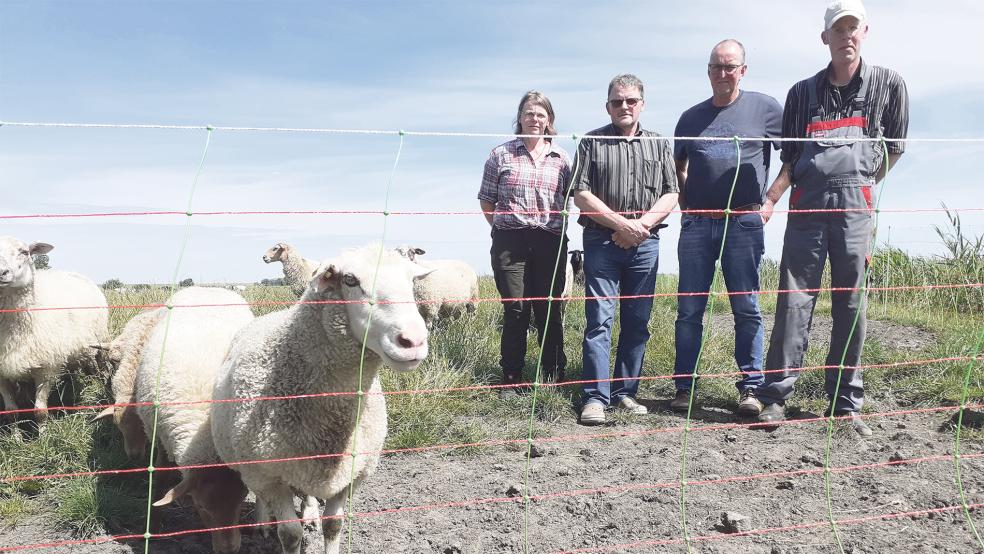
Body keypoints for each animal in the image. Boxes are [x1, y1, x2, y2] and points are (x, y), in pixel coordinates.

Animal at [0, 235, 108, 420]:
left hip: (98, 344)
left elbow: (40, 411)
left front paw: (42, 429)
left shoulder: (48, 366)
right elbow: (11, 412)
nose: (1, 272)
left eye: (24, 252)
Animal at [135, 286, 256, 548]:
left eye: (242, 500)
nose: (230, 550)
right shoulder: (160, 438)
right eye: (202, 507)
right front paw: (154, 524)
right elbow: (160, 477)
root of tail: (209, 287)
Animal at [211, 245, 430, 552]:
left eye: (411, 280)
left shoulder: (349, 474)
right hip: (251, 465)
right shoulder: (270, 474)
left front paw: (321, 522)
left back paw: (310, 512)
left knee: (308, 492)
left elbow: (334, 525)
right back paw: (263, 522)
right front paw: (281, 528)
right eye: (350, 280)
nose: (413, 342)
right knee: (261, 495)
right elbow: (290, 533)